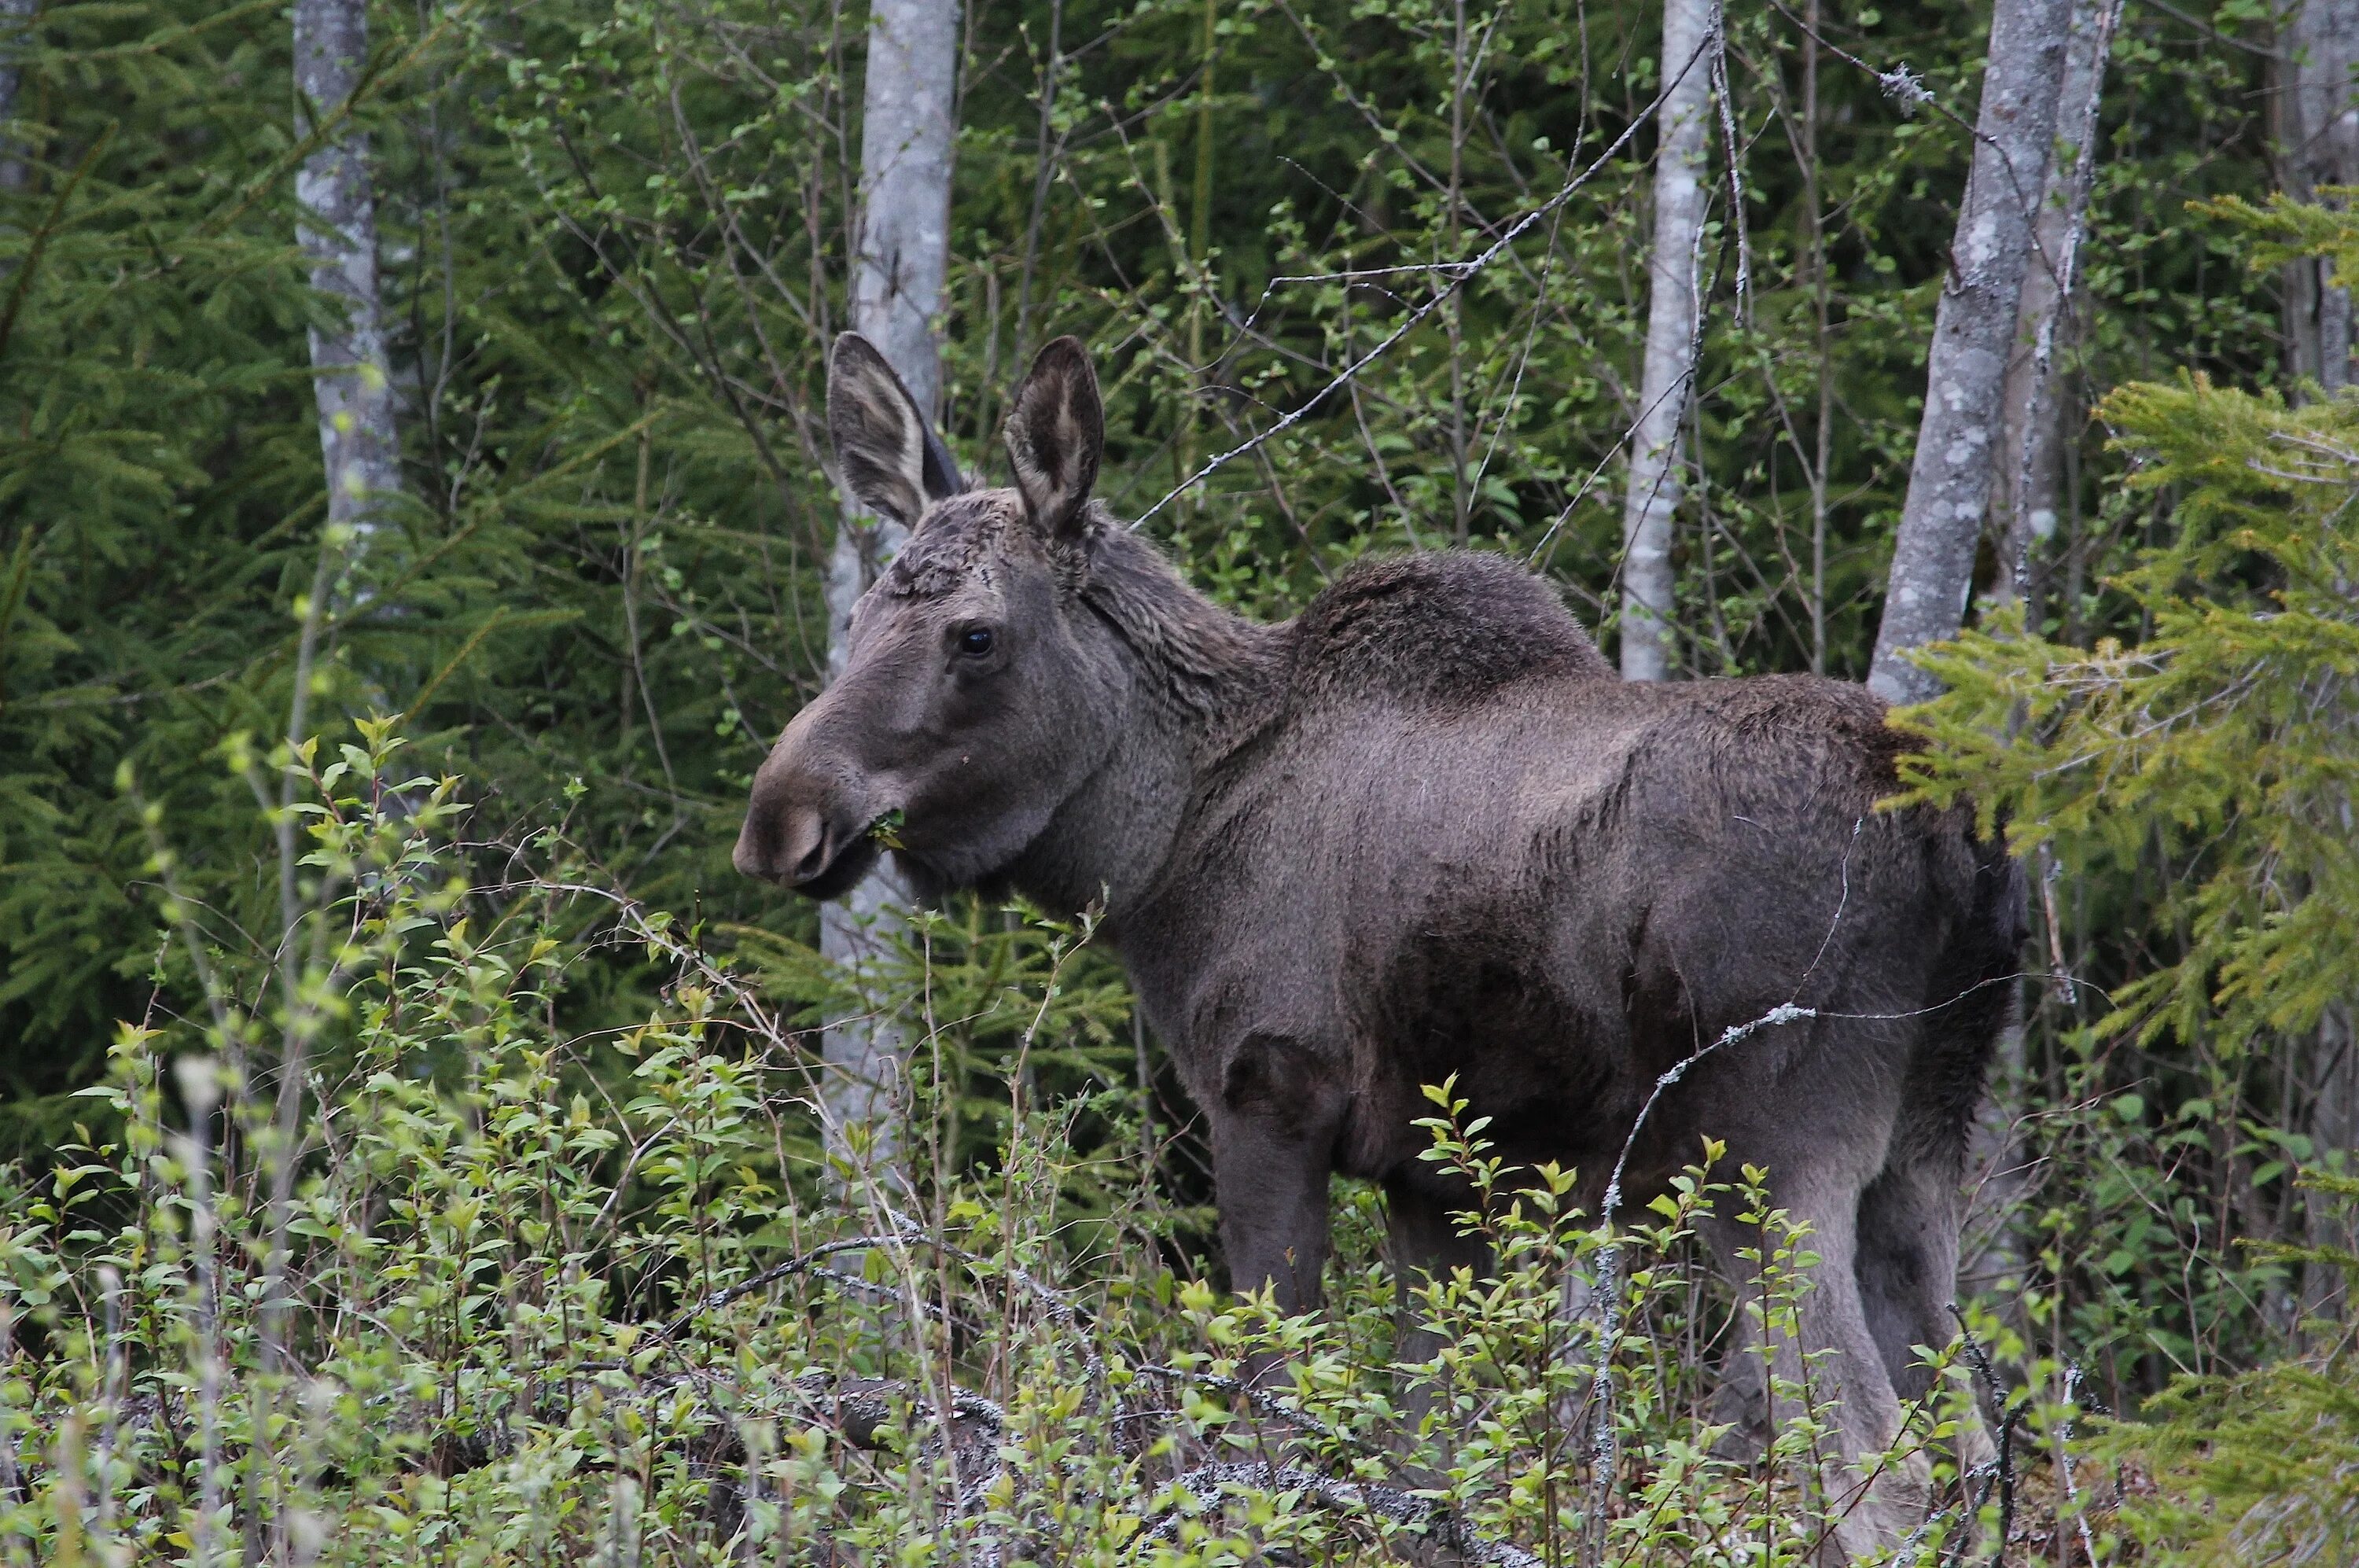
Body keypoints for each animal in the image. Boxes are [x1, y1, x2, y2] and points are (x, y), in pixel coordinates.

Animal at [741, 332, 2029, 1556]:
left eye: (973, 637)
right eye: (858, 617)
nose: (782, 816)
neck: (1164, 839)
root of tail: (1962, 836)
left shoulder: (1268, 1087)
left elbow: (1272, 1419)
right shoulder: (1434, 1176)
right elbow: (1426, 1456)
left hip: (1767, 1151)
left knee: (1883, 1473)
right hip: (1921, 1151)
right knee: (1974, 1456)